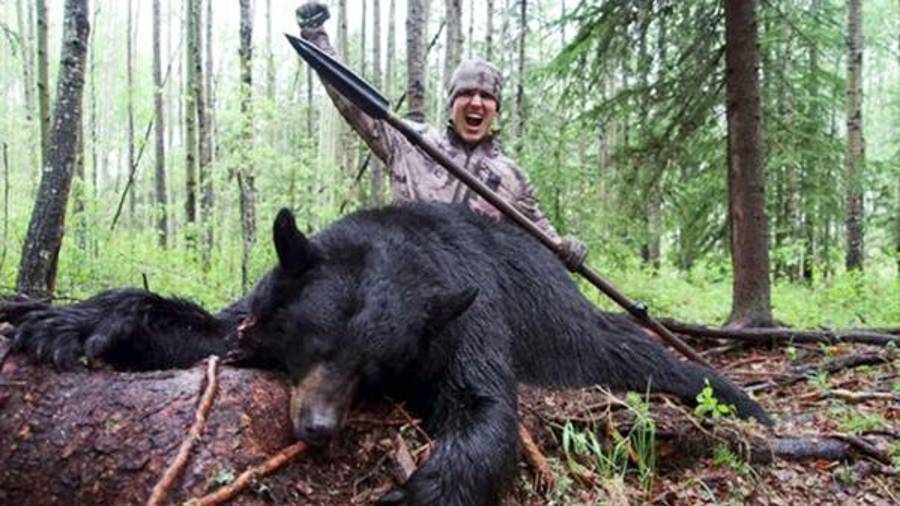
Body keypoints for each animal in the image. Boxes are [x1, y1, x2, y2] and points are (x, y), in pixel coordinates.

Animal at [4, 202, 771, 506]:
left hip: (582, 334)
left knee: (657, 360)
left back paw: (749, 405)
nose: (316, 427)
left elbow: (482, 408)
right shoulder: (264, 310)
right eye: (311, 343)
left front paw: (416, 490)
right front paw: (63, 322)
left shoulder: (468, 313)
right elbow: (214, 330)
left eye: (373, 367)